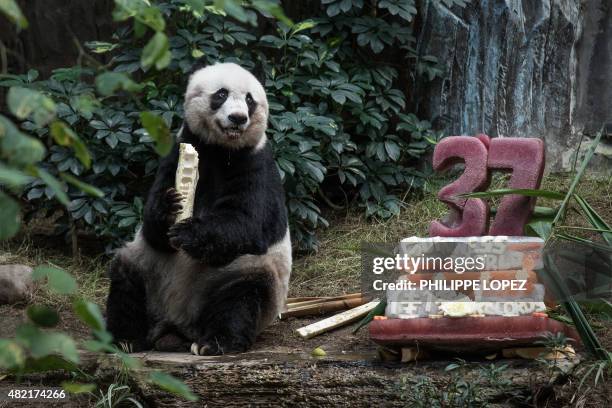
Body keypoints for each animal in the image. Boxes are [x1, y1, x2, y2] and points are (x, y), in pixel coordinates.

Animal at [105, 62, 292, 356]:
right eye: (221, 94)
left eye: (250, 100)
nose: (238, 118)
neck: (220, 150)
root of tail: (177, 324)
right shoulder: (177, 151)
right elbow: (152, 226)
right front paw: (170, 208)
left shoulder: (256, 163)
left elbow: (247, 222)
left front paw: (188, 233)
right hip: (148, 268)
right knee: (127, 281)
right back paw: (125, 338)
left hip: (234, 274)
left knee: (243, 295)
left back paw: (216, 342)